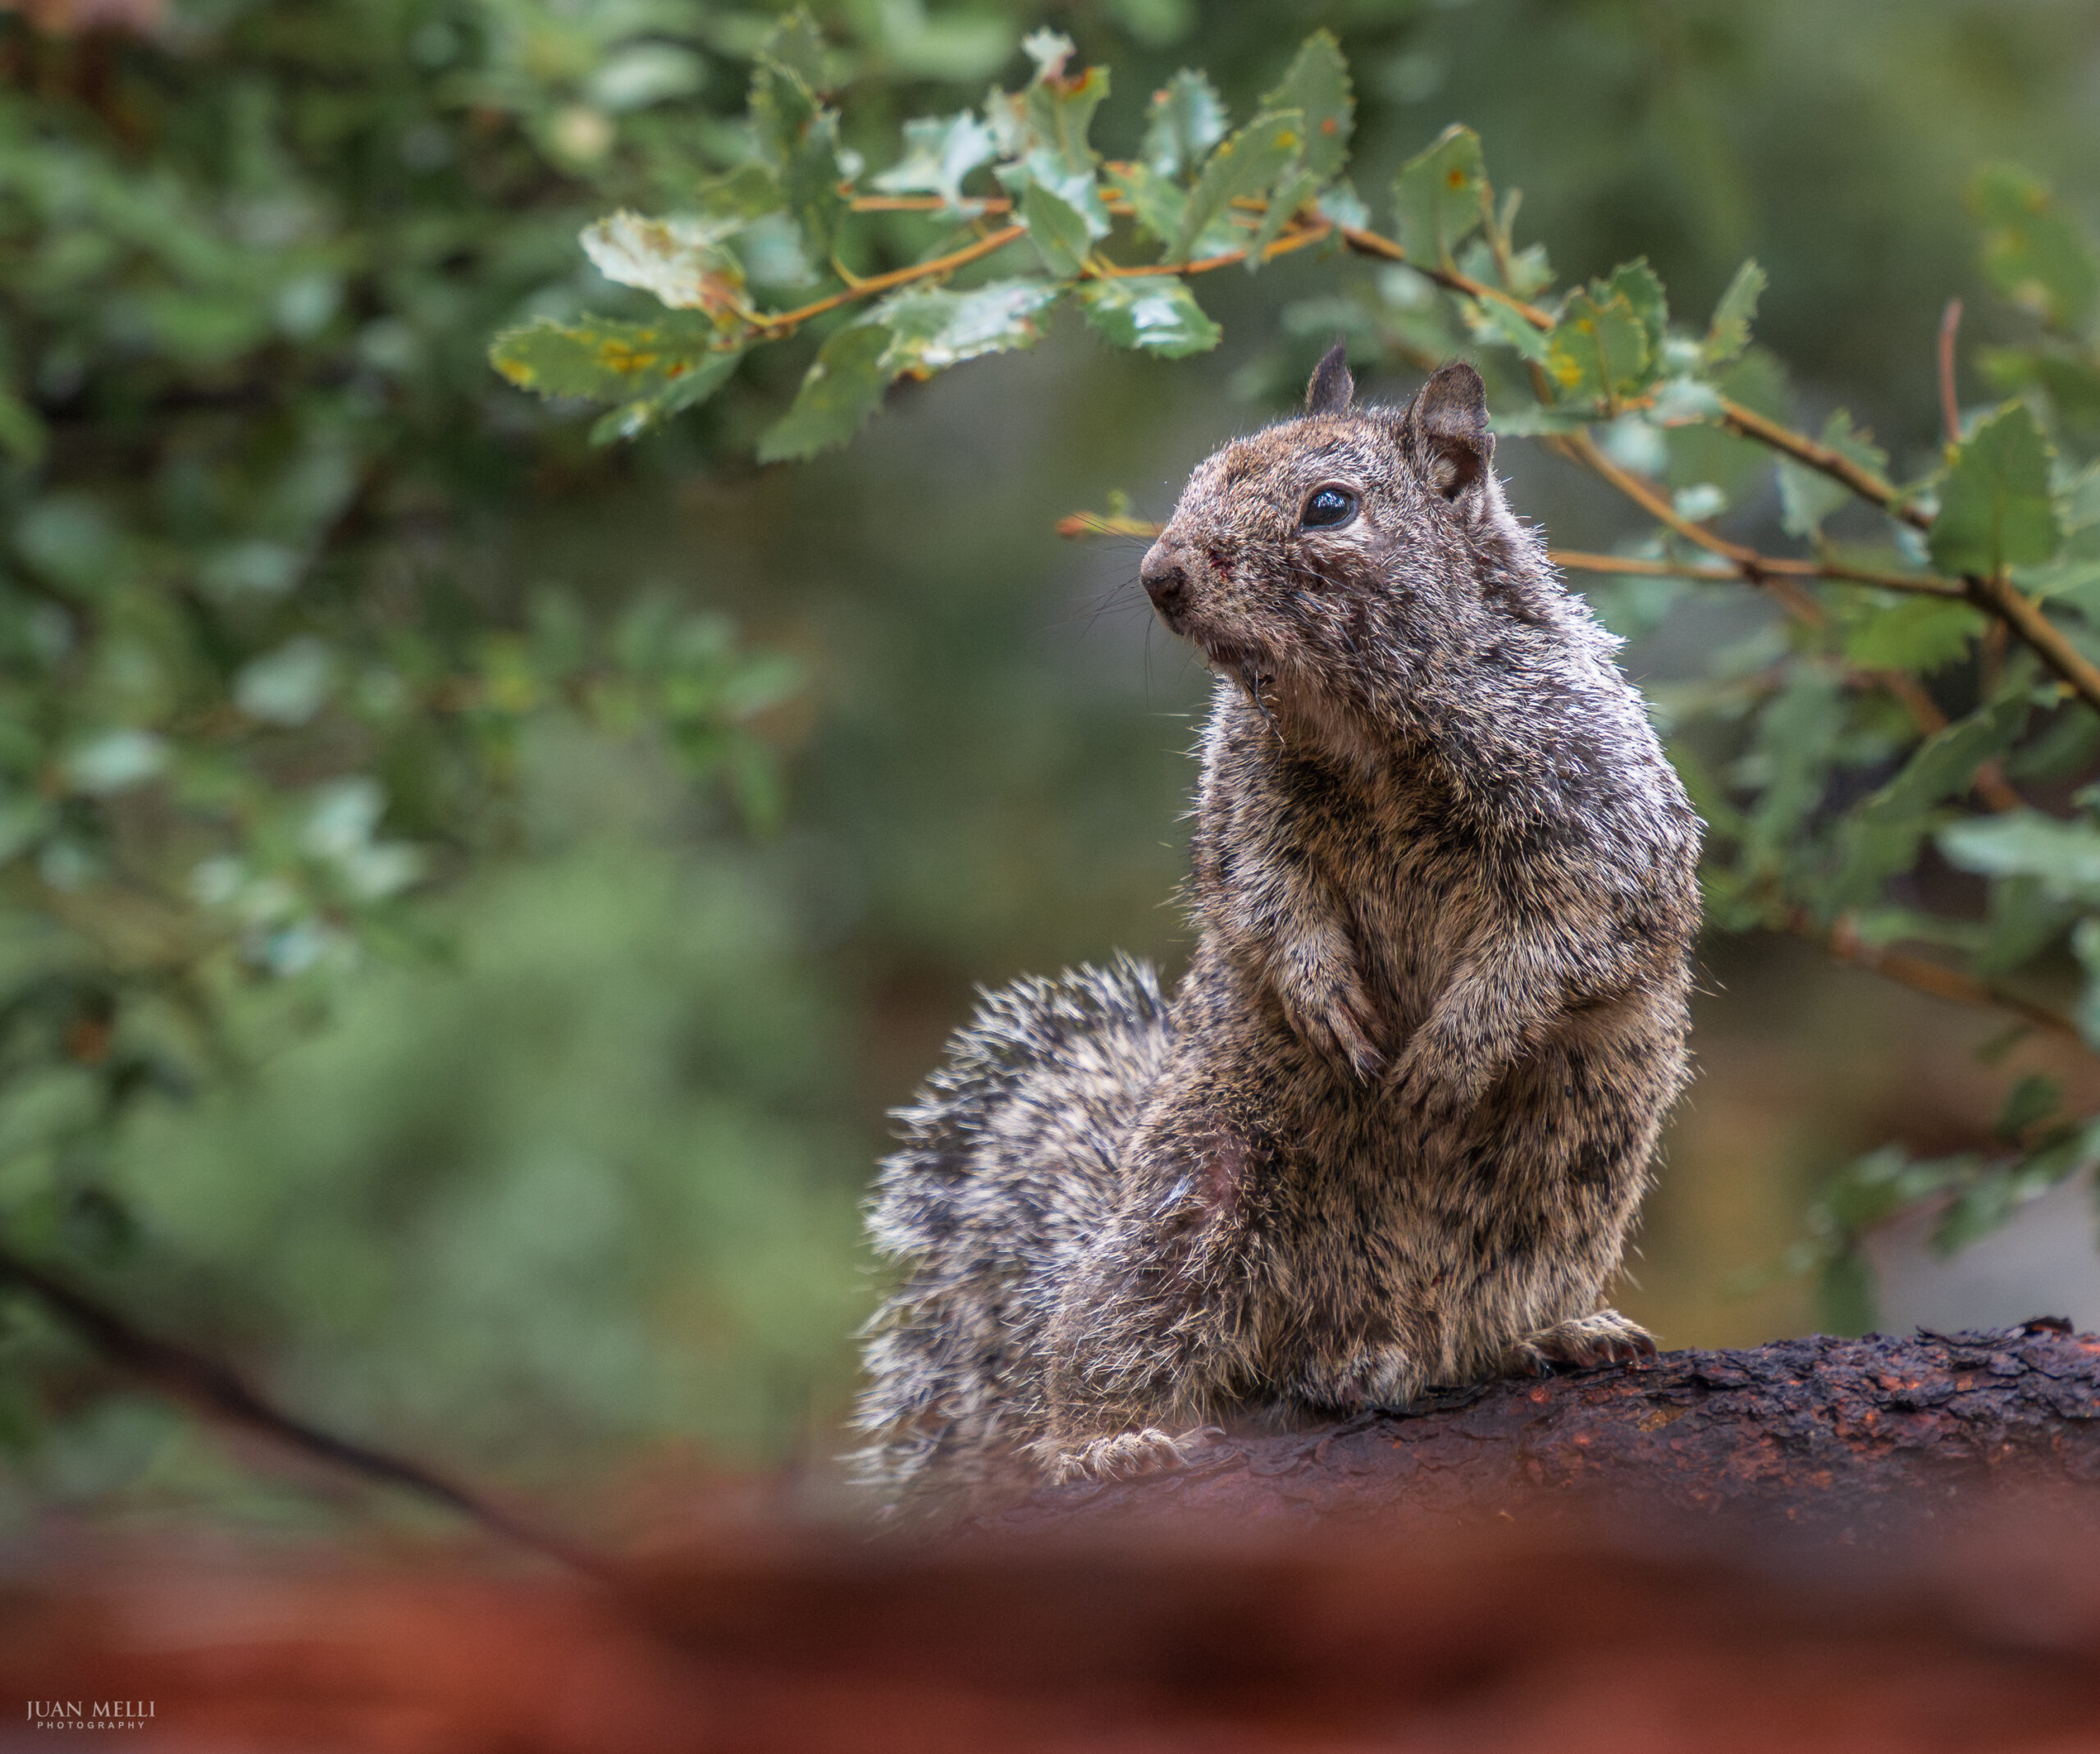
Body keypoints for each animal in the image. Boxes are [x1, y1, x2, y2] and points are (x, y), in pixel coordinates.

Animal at [855, 348, 1701, 1516]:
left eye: (1331, 507)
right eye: (1202, 471)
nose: (1159, 573)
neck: (1360, 724)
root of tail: (1371, 1341)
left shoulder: (1598, 808)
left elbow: (1571, 930)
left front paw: (1453, 1050)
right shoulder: (1243, 809)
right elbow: (1261, 898)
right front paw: (1324, 1000)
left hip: (1560, 1189)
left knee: (1488, 1319)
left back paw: (1561, 1332)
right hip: (1188, 1217)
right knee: (1106, 1349)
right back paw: (1105, 1439)